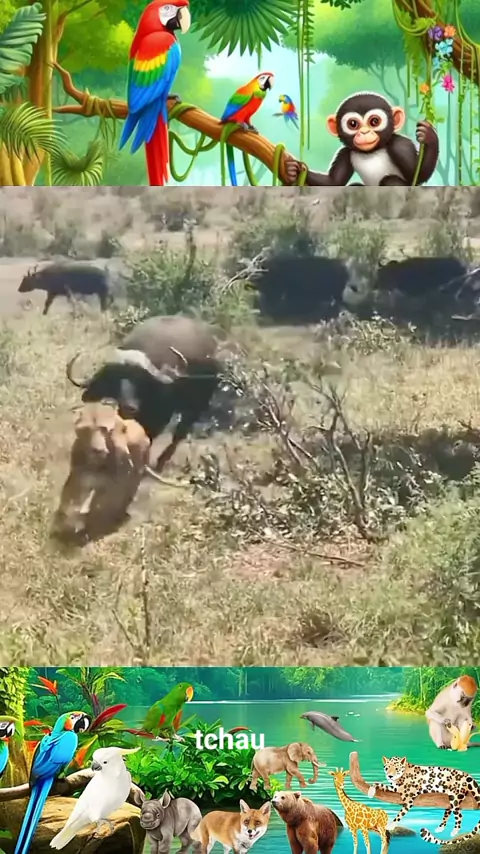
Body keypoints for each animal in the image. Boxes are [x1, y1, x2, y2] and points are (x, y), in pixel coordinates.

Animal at [66, 315, 220, 472]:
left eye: (139, 380)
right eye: (115, 380)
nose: (129, 407)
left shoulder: (160, 415)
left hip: (197, 405)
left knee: (179, 434)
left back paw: (160, 463)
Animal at [284, 91, 439, 187]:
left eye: (374, 121)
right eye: (353, 124)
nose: (364, 132)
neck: (372, 152)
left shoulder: (400, 145)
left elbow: (417, 176)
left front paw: (429, 136)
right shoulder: (345, 153)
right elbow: (333, 182)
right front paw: (293, 169)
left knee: (390, 181)